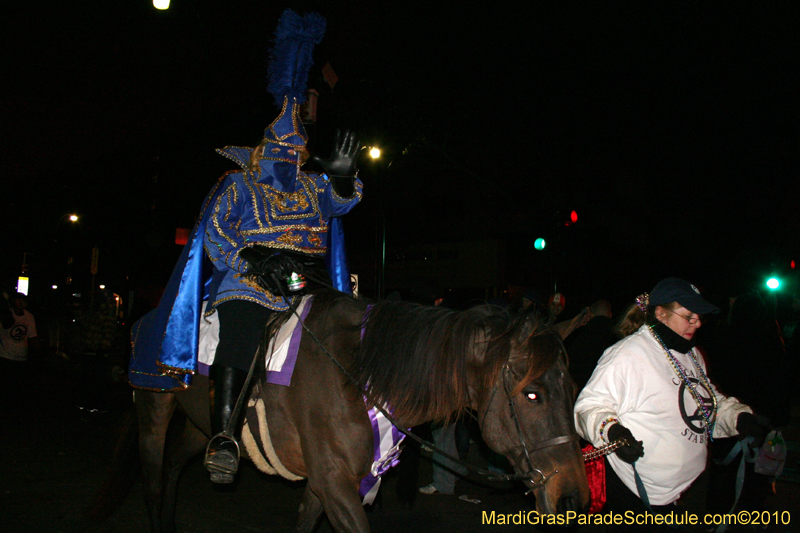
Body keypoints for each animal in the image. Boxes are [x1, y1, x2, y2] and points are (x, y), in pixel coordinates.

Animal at [128, 290, 588, 532]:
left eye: (574, 389)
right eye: (533, 395)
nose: (572, 496)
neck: (356, 380)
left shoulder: (326, 484)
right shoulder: (335, 485)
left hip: (202, 425)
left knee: (175, 464)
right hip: (153, 408)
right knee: (152, 479)